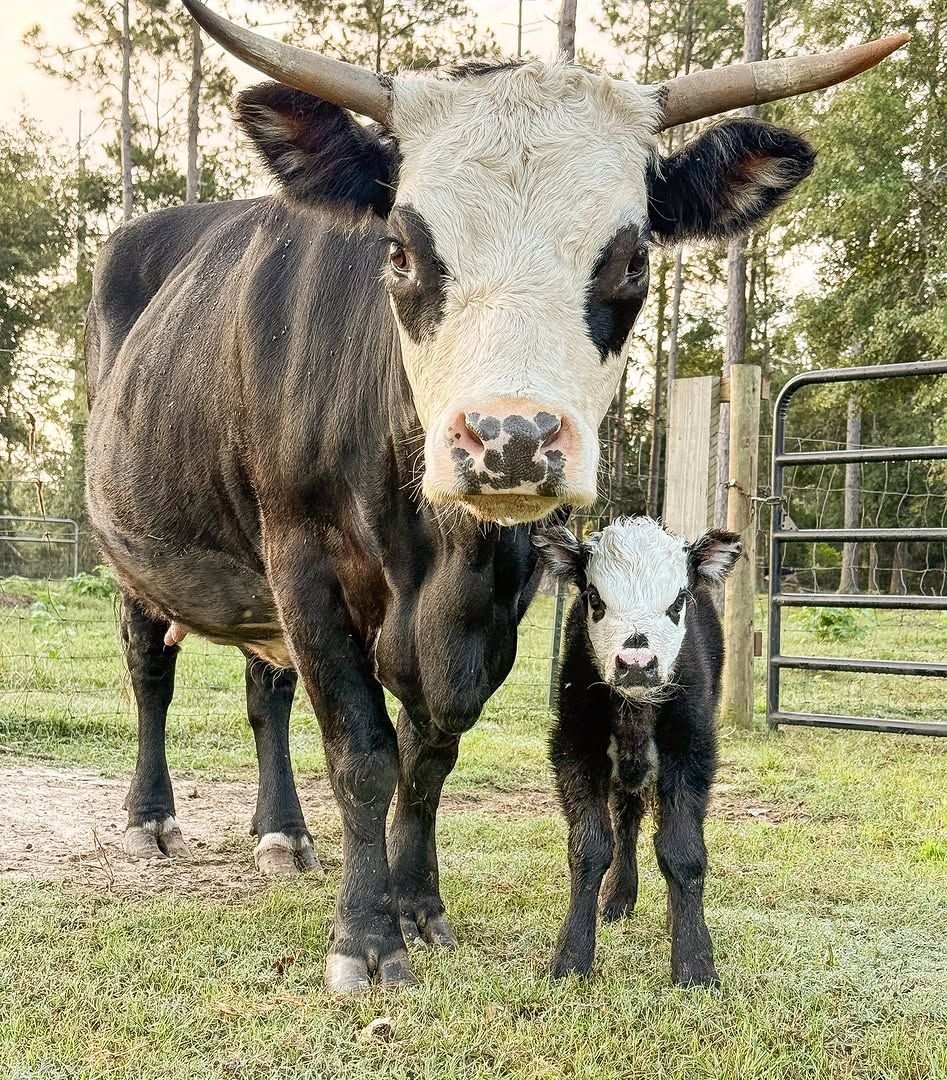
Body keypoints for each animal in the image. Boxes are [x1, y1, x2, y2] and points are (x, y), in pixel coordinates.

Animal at [83, 0, 905, 991]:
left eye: (632, 261)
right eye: (399, 250)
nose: (511, 438)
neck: (439, 558)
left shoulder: (499, 603)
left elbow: (429, 754)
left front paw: (418, 904)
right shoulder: (305, 560)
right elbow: (363, 754)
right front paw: (366, 938)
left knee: (264, 689)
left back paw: (282, 833)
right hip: (145, 555)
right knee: (150, 670)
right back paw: (150, 817)